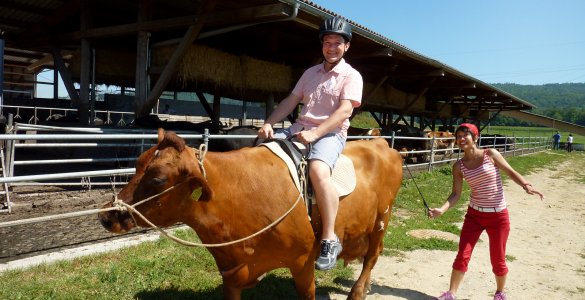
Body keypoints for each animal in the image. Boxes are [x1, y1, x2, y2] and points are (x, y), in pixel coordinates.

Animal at [99, 129, 402, 300]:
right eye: (137, 164)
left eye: (159, 179)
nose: (107, 215)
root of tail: (380, 144)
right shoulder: (231, 270)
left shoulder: (304, 260)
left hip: (381, 219)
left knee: (372, 256)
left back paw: (358, 292)